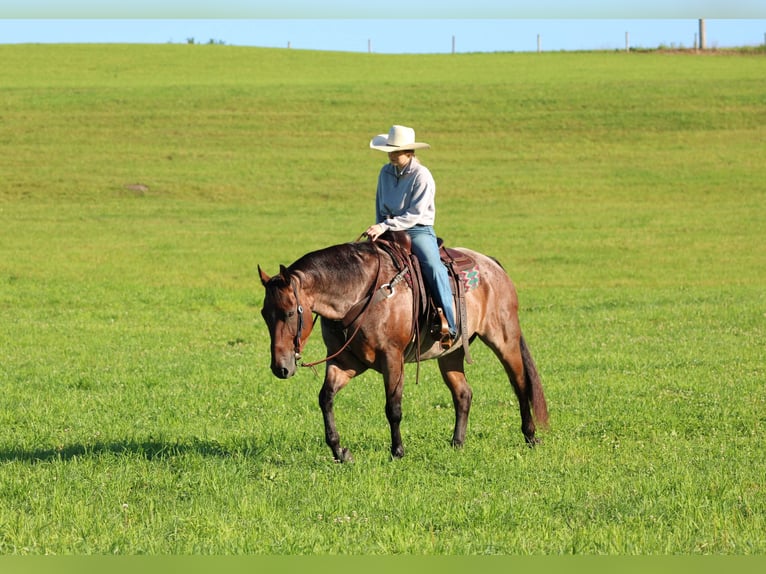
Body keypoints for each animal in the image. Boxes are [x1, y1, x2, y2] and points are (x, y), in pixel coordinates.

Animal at [258, 232, 548, 462]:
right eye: (264, 314)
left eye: (288, 313)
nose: (280, 368)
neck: (361, 293)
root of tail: (492, 265)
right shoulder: (346, 362)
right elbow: (325, 398)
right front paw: (340, 451)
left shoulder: (392, 358)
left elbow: (393, 407)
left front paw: (397, 451)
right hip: (451, 353)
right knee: (463, 394)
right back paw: (457, 443)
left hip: (504, 339)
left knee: (521, 384)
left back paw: (531, 436)